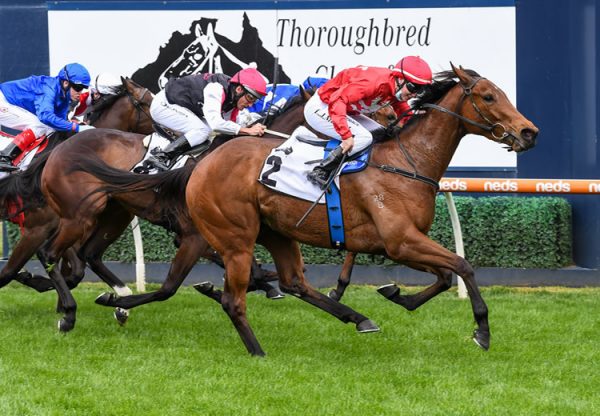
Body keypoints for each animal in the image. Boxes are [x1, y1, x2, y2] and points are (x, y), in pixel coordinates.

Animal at [183, 64, 540, 354]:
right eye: (488, 97)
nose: (529, 132)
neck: (407, 161)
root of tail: (204, 163)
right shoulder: (401, 241)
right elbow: (462, 266)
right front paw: (482, 331)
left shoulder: (399, 245)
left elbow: (444, 276)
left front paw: (397, 294)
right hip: (237, 239)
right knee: (234, 300)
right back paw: (258, 351)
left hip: (276, 231)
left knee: (294, 282)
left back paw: (358, 318)